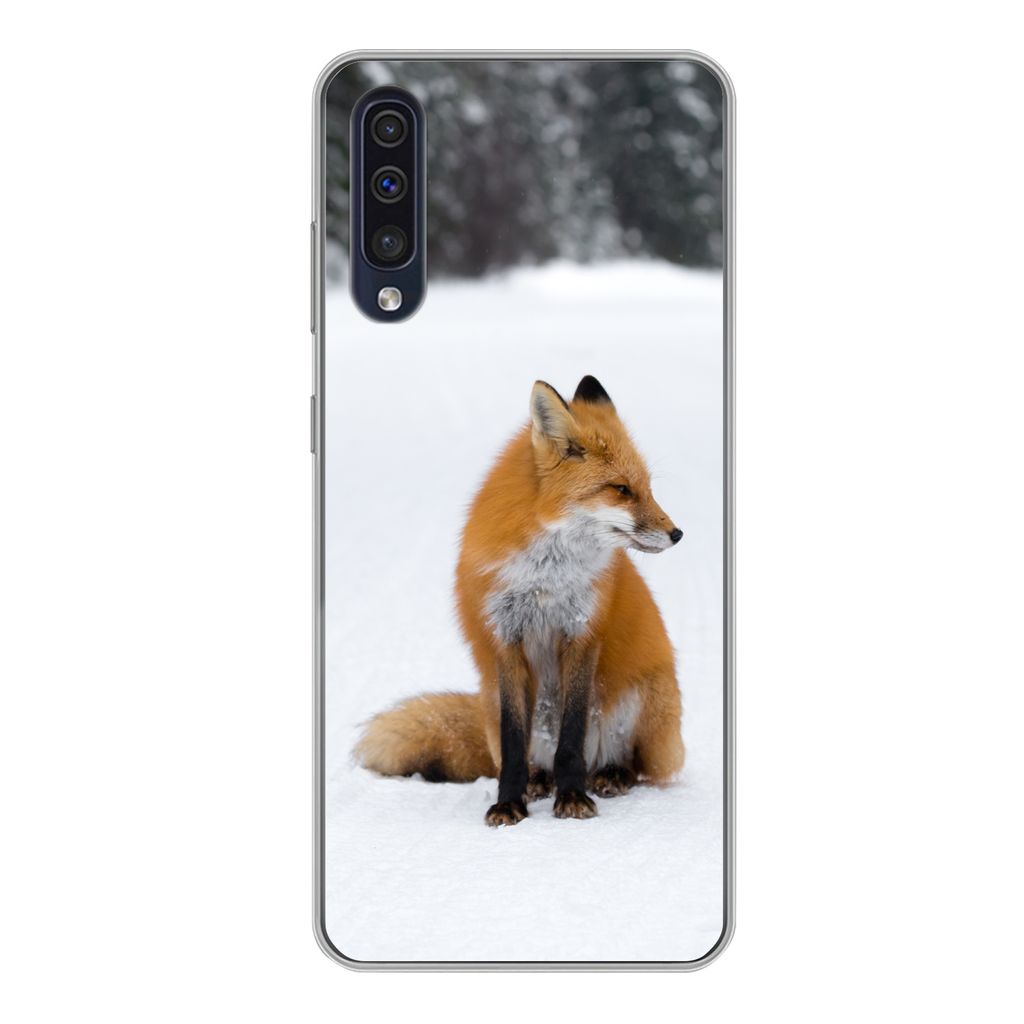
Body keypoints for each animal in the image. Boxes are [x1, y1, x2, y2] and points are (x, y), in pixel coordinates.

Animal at [355, 375, 685, 826]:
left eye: (647, 489)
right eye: (622, 490)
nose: (677, 534)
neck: (544, 578)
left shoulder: (581, 634)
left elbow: (571, 738)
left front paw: (572, 798)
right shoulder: (505, 638)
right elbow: (513, 746)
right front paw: (509, 802)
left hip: (643, 700)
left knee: (635, 765)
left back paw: (610, 775)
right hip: (492, 698)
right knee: (525, 757)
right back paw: (538, 780)